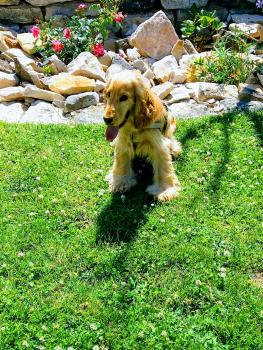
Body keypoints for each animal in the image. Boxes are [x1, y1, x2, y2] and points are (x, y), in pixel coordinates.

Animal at [103, 69, 182, 201]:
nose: (106, 119)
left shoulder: (158, 144)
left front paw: (165, 190)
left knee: (171, 138)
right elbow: (121, 162)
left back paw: (174, 149)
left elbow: (163, 167)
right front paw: (121, 182)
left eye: (124, 97)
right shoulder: (123, 141)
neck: (133, 127)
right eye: (108, 94)